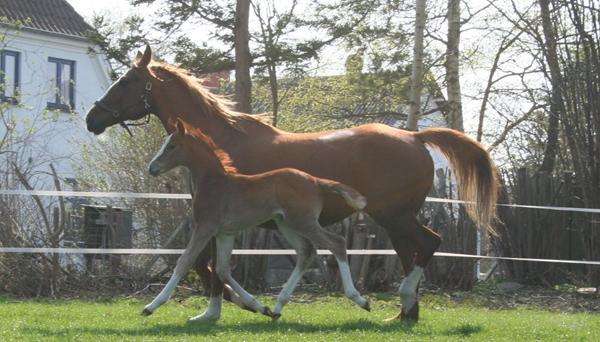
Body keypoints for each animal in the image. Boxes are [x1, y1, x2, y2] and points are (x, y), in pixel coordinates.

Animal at [143, 119, 370, 320]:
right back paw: (277, 308)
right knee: (306, 251)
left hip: (303, 222)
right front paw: (259, 307)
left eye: (171, 146)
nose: (152, 168)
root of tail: (315, 181)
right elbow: (222, 270)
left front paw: (151, 306)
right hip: (285, 224)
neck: (213, 182)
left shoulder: (205, 227)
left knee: (336, 243)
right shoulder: (225, 233)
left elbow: (184, 262)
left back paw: (360, 299)